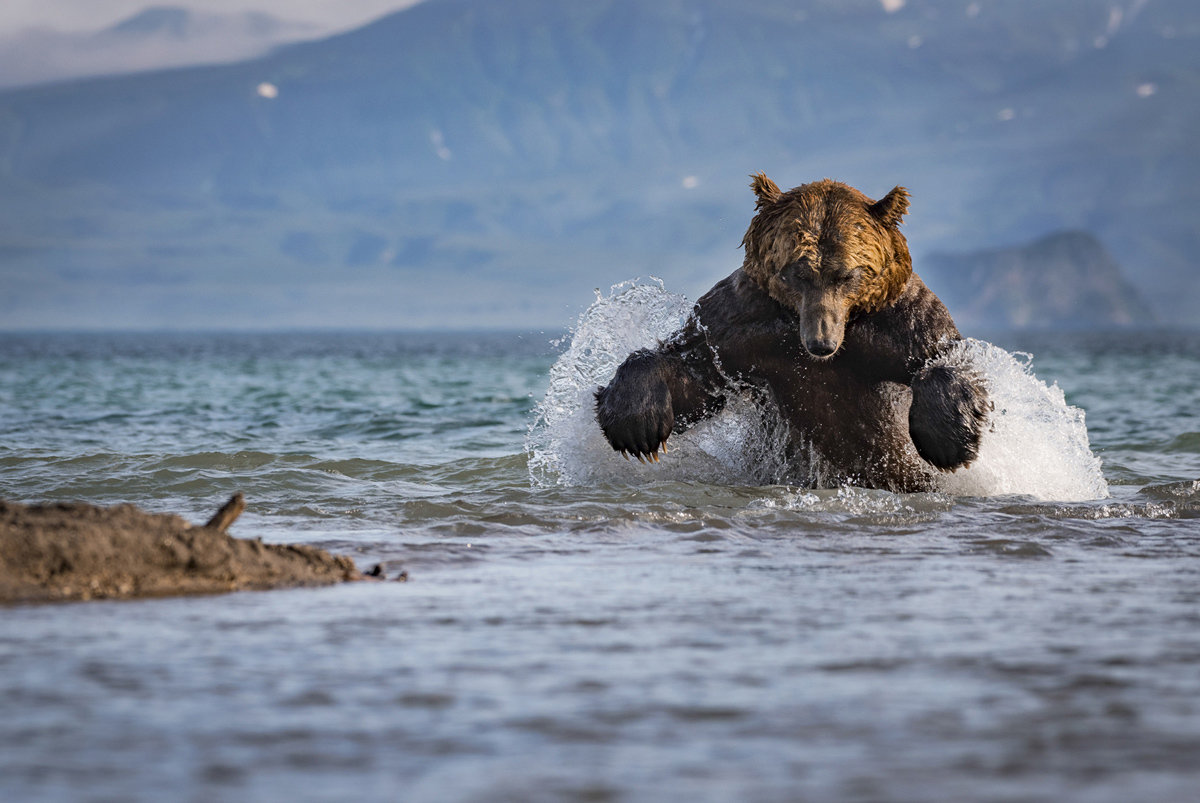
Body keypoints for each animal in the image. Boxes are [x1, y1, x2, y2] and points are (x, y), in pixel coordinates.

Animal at [594, 174, 990, 493]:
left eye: (847, 275)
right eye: (797, 272)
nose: (821, 343)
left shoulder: (897, 322)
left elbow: (945, 356)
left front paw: (950, 439)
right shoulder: (737, 326)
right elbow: (693, 375)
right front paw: (636, 424)